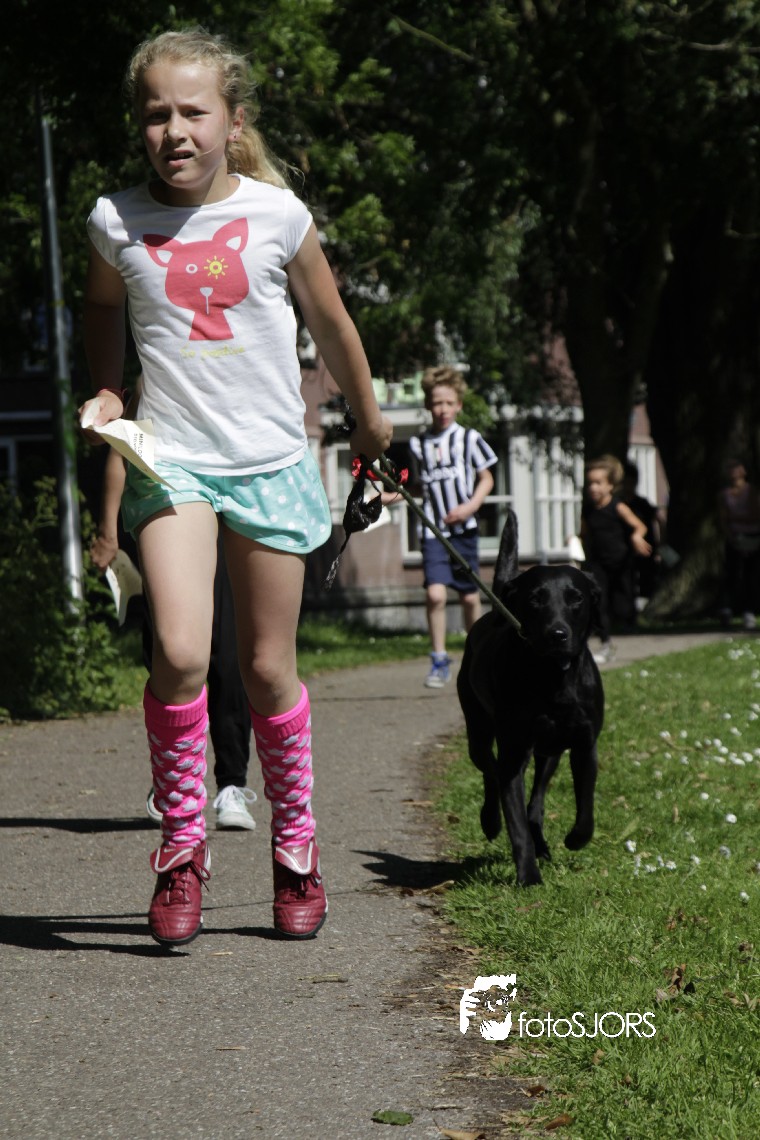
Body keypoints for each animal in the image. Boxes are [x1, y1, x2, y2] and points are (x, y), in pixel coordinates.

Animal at [456, 510, 604, 886]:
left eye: (576, 598)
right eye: (536, 598)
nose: (557, 634)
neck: (552, 675)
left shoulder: (584, 745)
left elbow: (585, 807)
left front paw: (575, 839)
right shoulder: (512, 751)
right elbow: (515, 819)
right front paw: (528, 876)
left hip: (548, 751)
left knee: (535, 801)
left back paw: (542, 843)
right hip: (478, 730)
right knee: (490, 773)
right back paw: (491, 821)